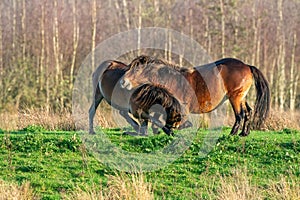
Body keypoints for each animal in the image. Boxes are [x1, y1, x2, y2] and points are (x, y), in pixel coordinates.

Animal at [120, 55, 270, 136]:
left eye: (136, 69)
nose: (123, 82)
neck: (170, 79)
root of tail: (247, 66)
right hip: (241, 97)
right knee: (248, 112)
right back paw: (244, 133)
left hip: (235, 97)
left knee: (240, 115)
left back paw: (233, 133)